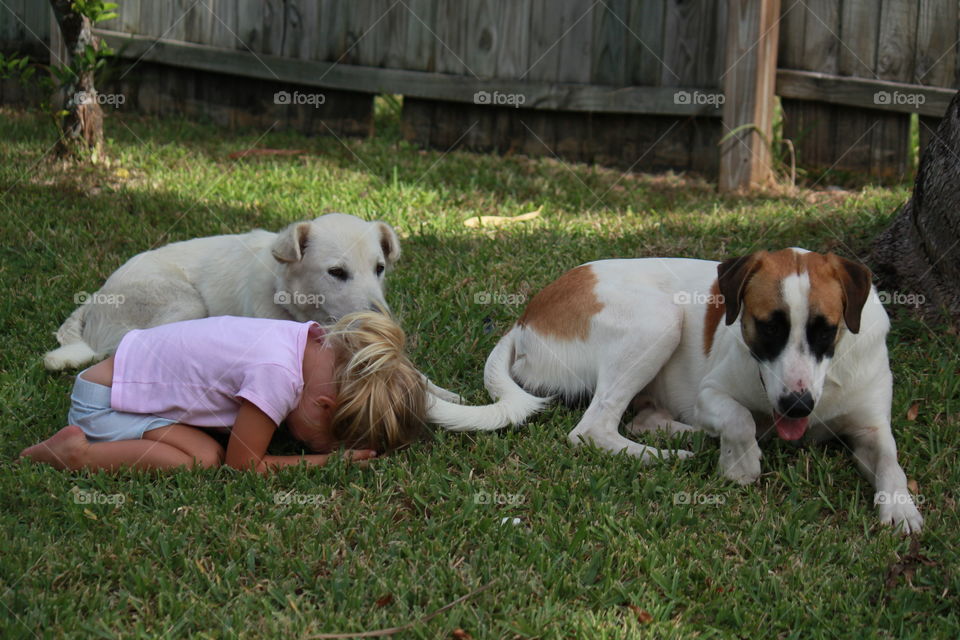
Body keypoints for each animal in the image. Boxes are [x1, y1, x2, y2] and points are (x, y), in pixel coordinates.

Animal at [44, 214, 402, 370]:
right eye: (336, 273)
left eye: (379, 268)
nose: (384, 323)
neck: (281, 292)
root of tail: (94, 298)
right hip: (186, 303)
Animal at [428, 248, 924, 532]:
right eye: (767, 327)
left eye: (826, 329)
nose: (797, 406)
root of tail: (525, 318)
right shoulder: (711, 394)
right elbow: (739, 419)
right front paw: (740, 463)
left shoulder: (871, 425)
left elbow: (891, 459)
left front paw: (901, 508)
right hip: (658, 318)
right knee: (592, 429)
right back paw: (671, 454)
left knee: (639, 418)